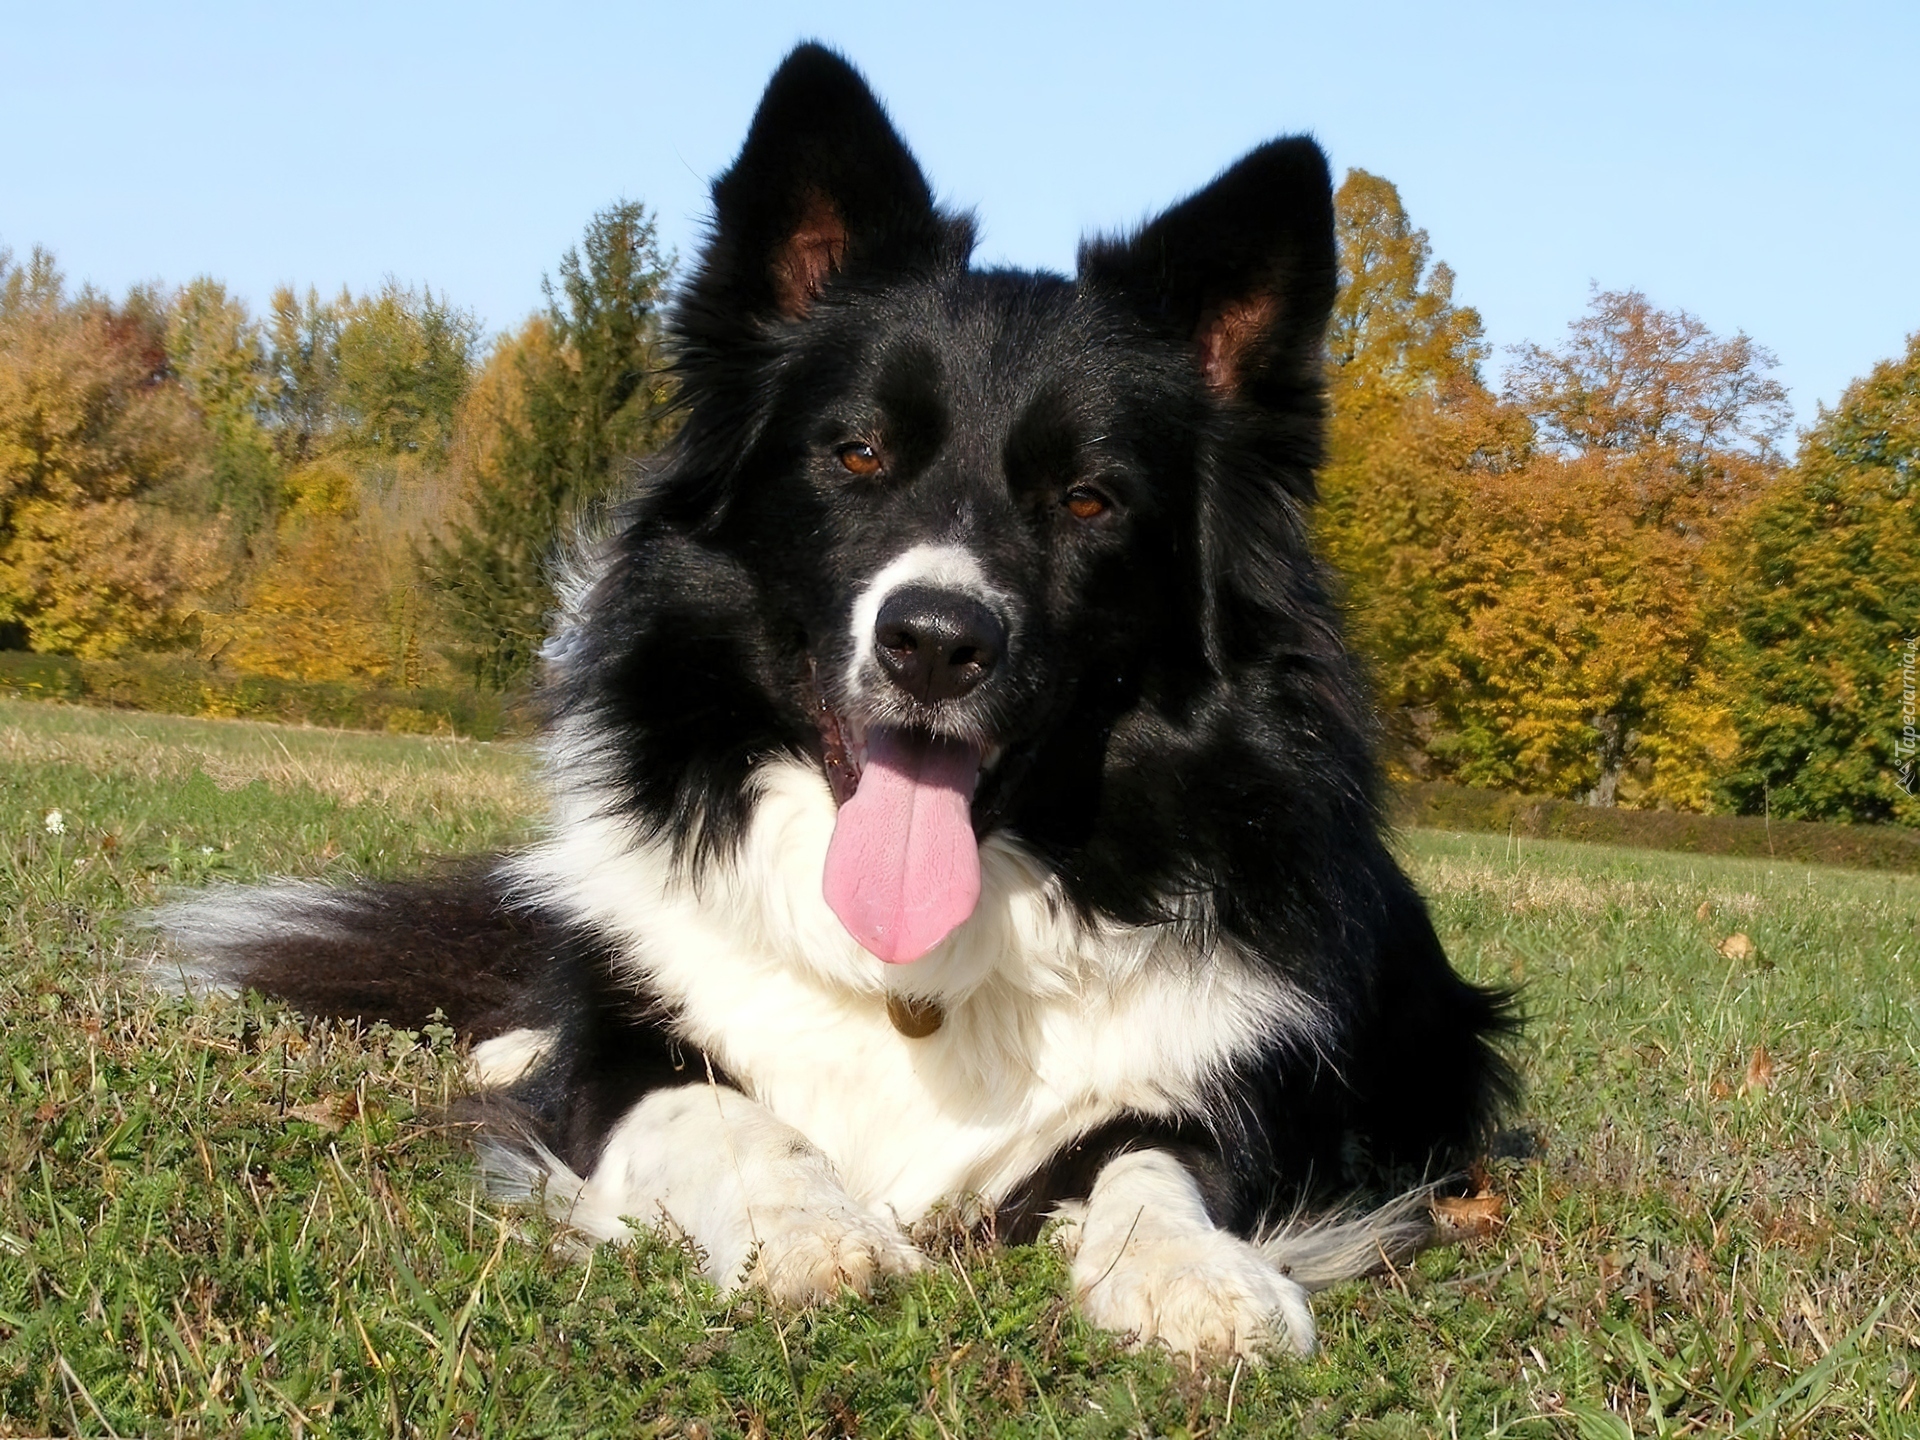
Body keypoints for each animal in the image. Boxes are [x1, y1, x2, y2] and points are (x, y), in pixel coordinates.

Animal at [157, 42, 1512, 1351]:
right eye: (857, 453)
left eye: (1090, 499)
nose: (935, 644)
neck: (914, 977)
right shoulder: (634, 1072)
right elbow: (709, 1108)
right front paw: (812, 1232)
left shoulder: (1229, 1098)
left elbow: (1155, 1164)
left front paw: (1195, 1277)